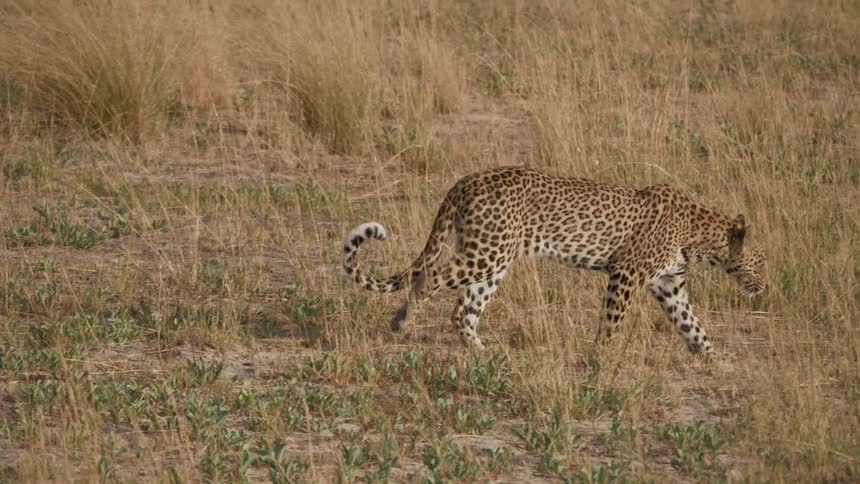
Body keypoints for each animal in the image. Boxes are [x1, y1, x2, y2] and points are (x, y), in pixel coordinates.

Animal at [342, 166, 766, 354]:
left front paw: (714, 361)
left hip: (494, 259)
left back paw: (480, 351)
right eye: (760, 262)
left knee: (462, 309)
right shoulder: (627, 274)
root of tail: (465, 180)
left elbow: (694, 327)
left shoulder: (670, 286)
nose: (763, 286)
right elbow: (611, 323)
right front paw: (600, 360)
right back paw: (402, 321)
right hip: (486, 252)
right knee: (428, 278)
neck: (700, 238)